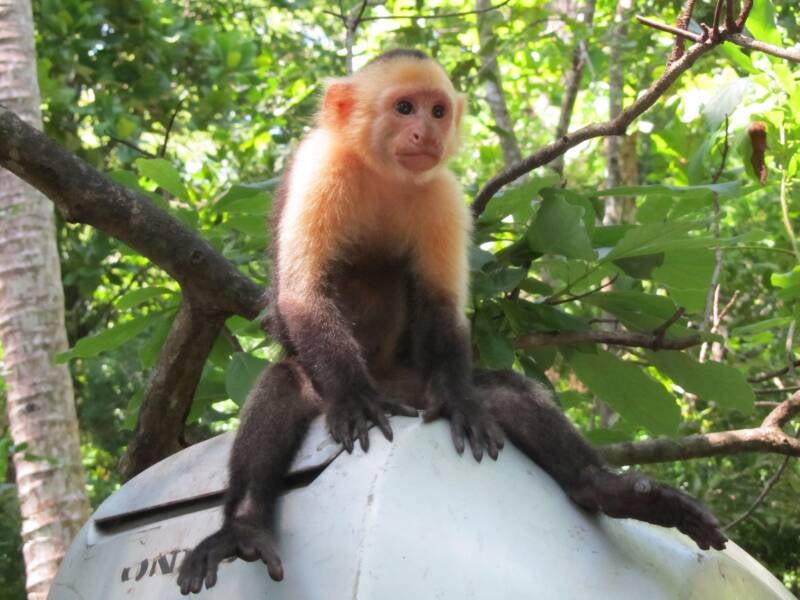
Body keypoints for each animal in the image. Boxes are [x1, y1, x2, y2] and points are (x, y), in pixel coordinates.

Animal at [177, 49, 727, 595]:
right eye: (404, 108)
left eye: (437, 111)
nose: (427, 133)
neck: (383, 174)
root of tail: (391, 384)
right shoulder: (319, 170)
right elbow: (302, 295)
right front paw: (354, 399)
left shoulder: (442, 193)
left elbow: (443, 308)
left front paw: (463, 402)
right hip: (334, 388)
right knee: (283, 387)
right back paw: (244, 526)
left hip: (417, 387)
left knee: (501, 391)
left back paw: (608, 489)